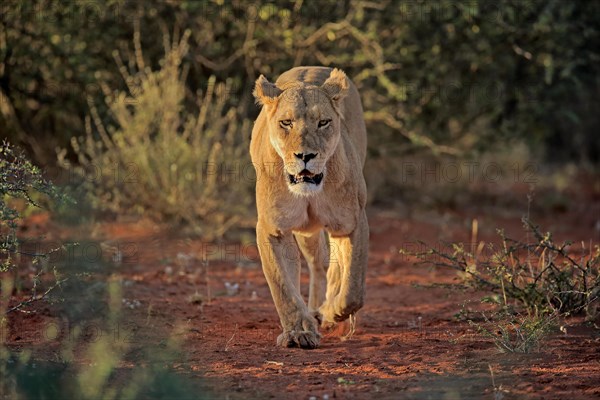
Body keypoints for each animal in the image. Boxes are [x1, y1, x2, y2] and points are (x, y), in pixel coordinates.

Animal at [250, 66, 368, 349]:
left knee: (332, 265)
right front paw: (298, 332)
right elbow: (282, 285)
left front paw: (333, 312)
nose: (305, 156)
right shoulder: (273, 229)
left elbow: (353, 287)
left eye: (323, 122)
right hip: (306, 231)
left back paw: (323, 311)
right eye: (286, 123)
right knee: (316, 263)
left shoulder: (353, 222)